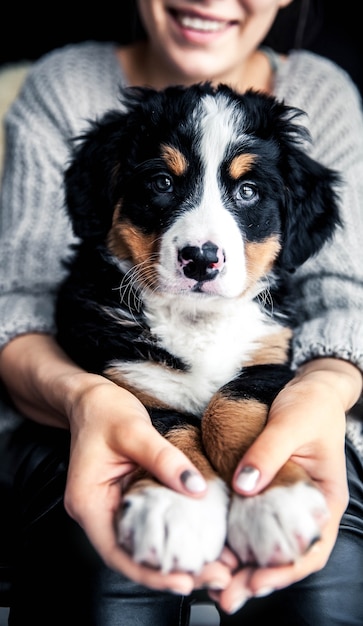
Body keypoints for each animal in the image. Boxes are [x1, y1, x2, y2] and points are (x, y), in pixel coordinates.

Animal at [56, 83, 342, 572]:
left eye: (247, 190)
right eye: (162, 183)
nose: (202, 259)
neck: (196, 318)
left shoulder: (271, 358)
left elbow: (232, 403)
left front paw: (272, 498)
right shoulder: (123, 369)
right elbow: (167, 427)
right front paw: (175, 507)